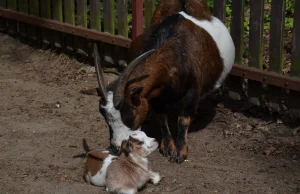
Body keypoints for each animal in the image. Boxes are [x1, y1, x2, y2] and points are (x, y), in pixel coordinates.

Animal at [106, 0, 237, 164]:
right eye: (106, 118)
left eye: (129, 116)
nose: (116, 146)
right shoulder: (155, 96)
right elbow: (162, 119)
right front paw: (168, 148)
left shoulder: (192, 92)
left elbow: (183, 120)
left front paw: (181, 152)